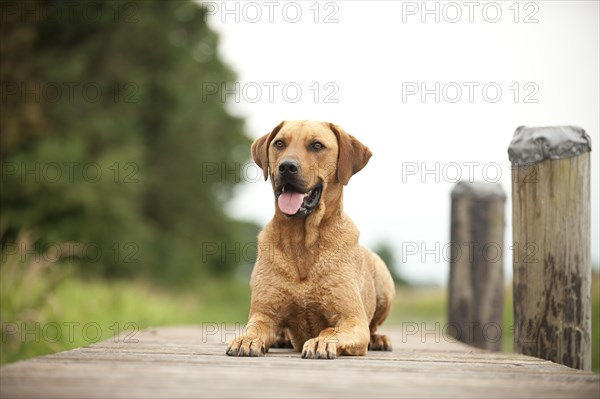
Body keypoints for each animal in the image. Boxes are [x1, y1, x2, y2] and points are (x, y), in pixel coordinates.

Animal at [227, 121, 396, 360]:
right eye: (279, 143)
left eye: (317, 145)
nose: (287, 167)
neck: (303, 241)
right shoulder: (265, 313)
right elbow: (255, 328)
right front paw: (247, 339)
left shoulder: (351, 318)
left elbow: (331, 330)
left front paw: (320, 342)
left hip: (384, 281)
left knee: (373, 327)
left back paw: (378, 339)